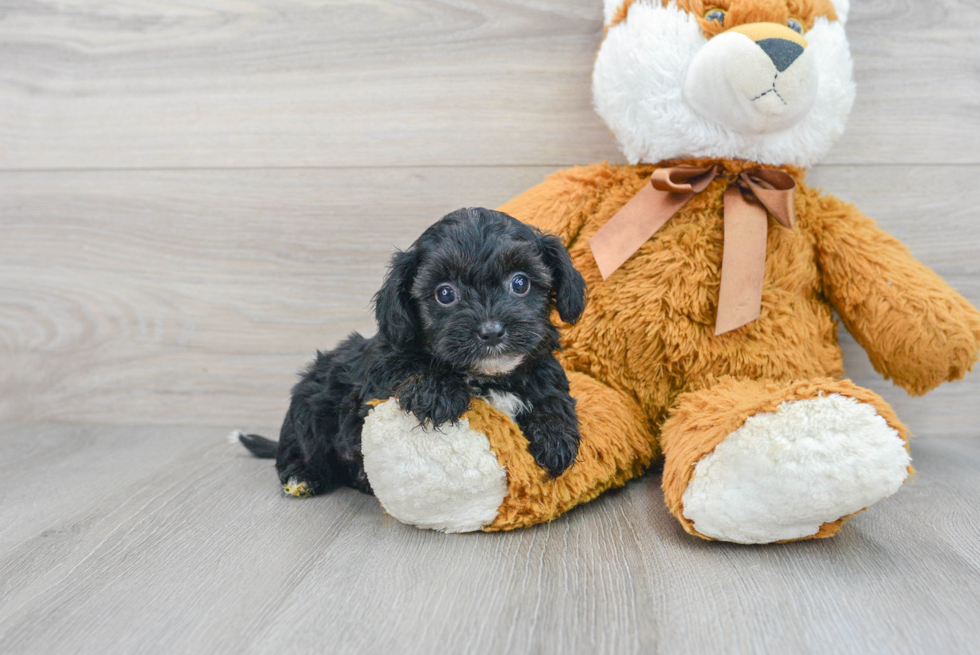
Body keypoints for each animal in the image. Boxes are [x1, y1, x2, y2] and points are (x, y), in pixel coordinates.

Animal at [235, 209, 588, 498]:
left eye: (520, 283)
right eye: (445, 293)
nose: (491, 331)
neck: (487, 375)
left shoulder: (542, 367)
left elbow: (551, 392)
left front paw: (556, 436)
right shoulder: (380, 371)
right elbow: (406, 366)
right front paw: (438, 393)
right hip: (309, 402)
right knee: (300, 448)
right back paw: (303, 476)